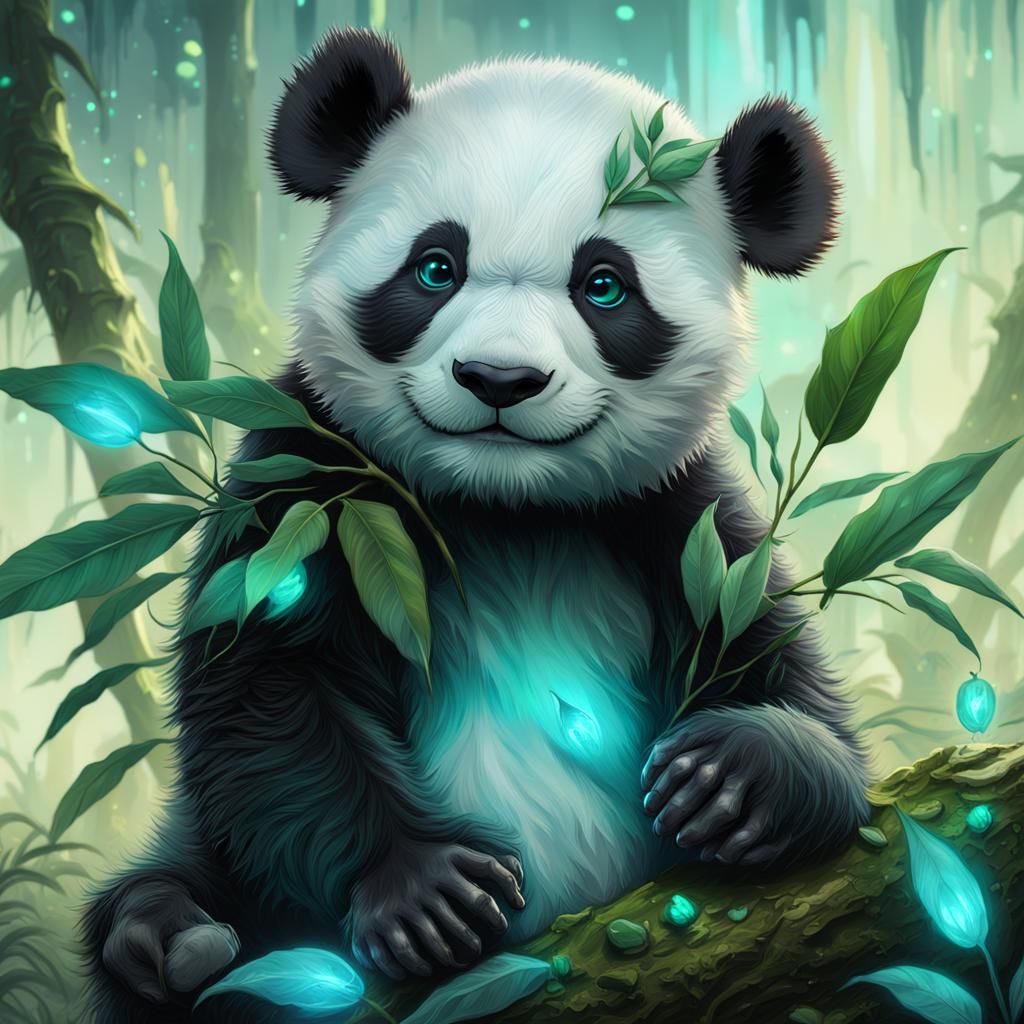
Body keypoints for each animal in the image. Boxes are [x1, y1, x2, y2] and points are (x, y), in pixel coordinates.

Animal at [83, 27, 869, 1023]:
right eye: (434, 268)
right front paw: (425, 891)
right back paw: (176, 939)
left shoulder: (678, 521)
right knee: (169, 887)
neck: (501, 507)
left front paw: (734, 782)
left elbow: (780, 673)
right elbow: (267, 692)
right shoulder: (310, 485)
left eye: (604, 286)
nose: (499, 379)